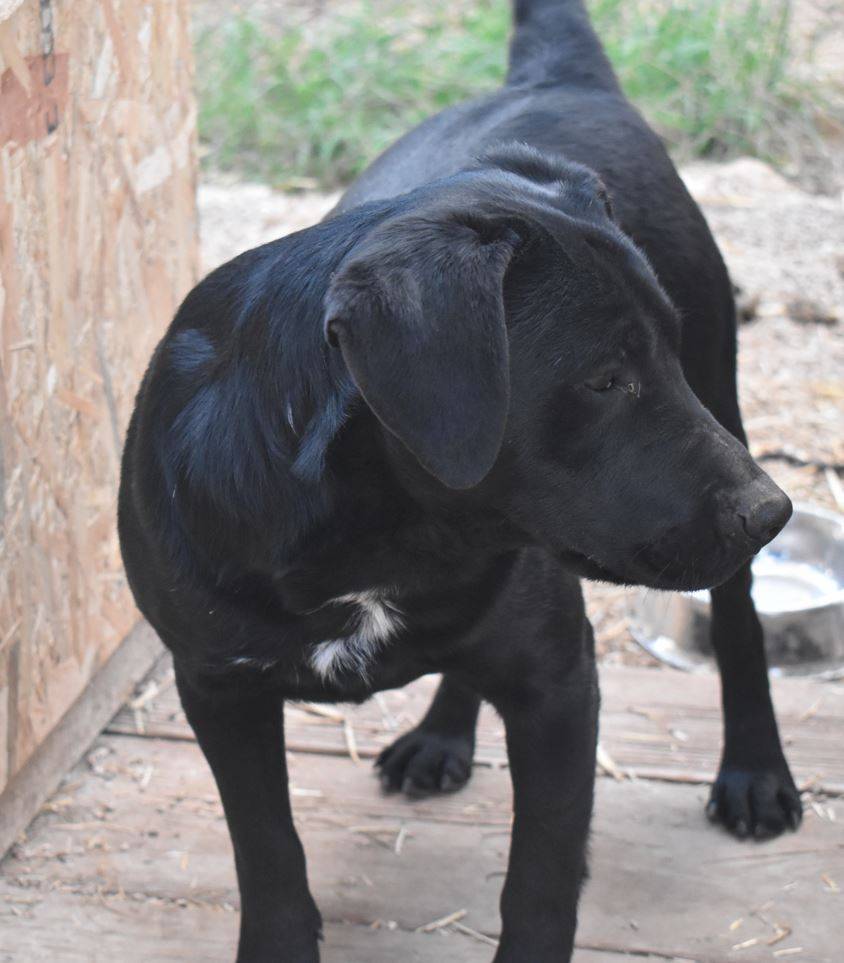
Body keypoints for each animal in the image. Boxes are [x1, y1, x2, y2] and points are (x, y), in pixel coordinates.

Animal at [118, 1, 802, 959]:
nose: (770, 511)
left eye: (658, 355)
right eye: (605, 379)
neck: (382, 528)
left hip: (724, 390)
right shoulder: (219, 687)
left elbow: (540, 882)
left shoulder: (559, 683)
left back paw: (754, 769)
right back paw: (444, 732)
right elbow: (269, 857)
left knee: (737, 615)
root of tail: (558, 78)